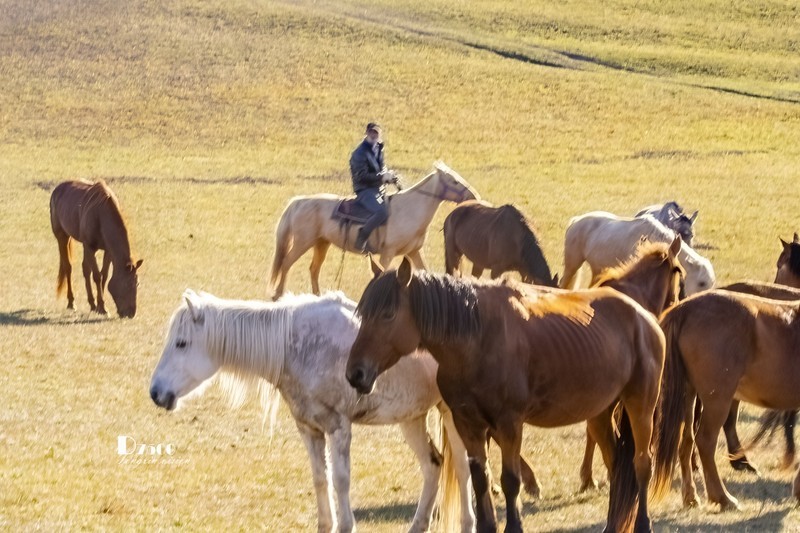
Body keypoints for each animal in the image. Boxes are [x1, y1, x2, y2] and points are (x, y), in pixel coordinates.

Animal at [49, 180, 143, 318]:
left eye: (137, 283)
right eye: (127, 284)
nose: (131, 313)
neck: (101, 215)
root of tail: (57, 189)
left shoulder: (108, 251)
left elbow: (104, 275)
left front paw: (99, 306)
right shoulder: (89, 247)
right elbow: (97, 276)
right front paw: (102, 307)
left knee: (85, 269)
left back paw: (92, 304)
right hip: (62, 237)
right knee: (68, 267)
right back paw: (71, 302)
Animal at [149, 290, 475, 533]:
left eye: (181, 343)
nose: (155, 392)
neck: (299, 347)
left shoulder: (339, 427)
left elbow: (340, 480)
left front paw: (346, 526)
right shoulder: (309, 429)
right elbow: (321, 478)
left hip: (452, 416)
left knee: (462, 468)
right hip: (411, 418)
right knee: (433, 465)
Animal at [269, 161, 480, 299]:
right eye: (453, 181)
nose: (474, 195)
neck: (409, 209)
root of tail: (299, 201)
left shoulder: (414, 251)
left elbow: (425, 271)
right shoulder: (388, 252)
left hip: (321, 243)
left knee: (313, 269)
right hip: (303, 242)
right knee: (286, 263)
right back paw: (278, 295)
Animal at [346, 258, 669, 533]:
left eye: (388, 314)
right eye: (362, 314)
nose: (355, 374)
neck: (476, 341)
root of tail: (645, 318)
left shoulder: (509, 423)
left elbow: (510, 481)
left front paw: (514, 525)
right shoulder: (468, 424)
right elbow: (481, 479)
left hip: (641, 406)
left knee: (642, 464)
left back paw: (643, 524)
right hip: (600, 414)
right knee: (616, 466)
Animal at [653, 289, 800, 511]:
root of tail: (685, 308)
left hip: (688, 395)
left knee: (686, 441)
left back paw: (691, 497)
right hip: (718, 399)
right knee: (705, 441)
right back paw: (723, 497)